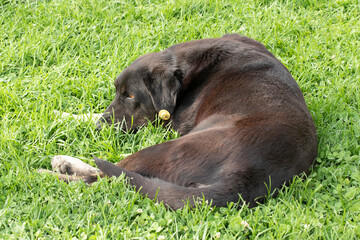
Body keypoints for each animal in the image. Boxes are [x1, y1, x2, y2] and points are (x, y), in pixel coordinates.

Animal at [45, 34, 318, 210]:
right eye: (116, 91)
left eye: (130, 95)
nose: (102, 126)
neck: (183, 68)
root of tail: (248, 176)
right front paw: (63, 116)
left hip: (172, 148)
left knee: (109, 177)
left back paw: (53, 171)